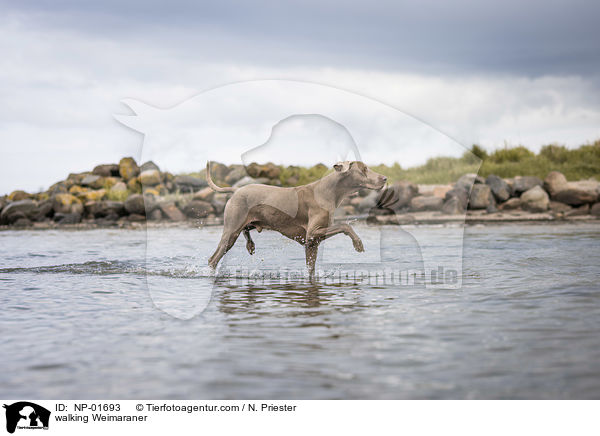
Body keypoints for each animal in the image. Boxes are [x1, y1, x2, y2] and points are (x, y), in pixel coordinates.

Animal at [206, 162, 386, 278]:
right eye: (364, 169)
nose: (384, 178)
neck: (329, 191)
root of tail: (236, 190)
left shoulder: (312, 243)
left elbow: (310, 269)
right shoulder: (313, 232)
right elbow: (345, 225)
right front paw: (358, 244)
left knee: (245, 231)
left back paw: (250, 244)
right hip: (231, 231)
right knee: (213, 259)